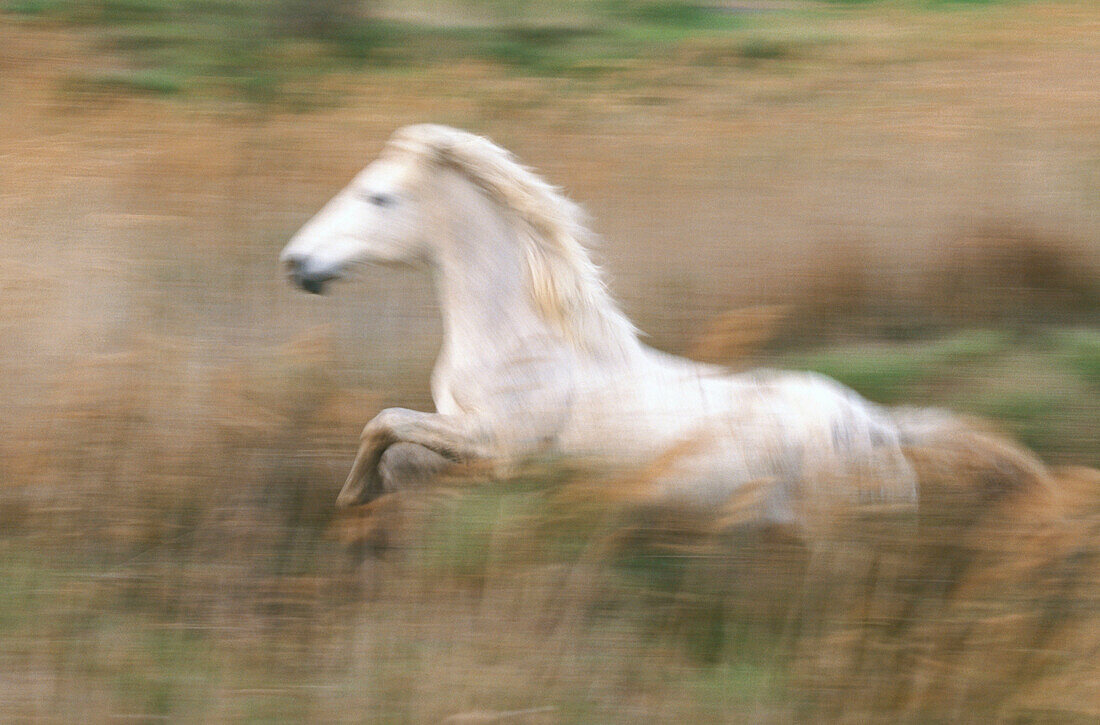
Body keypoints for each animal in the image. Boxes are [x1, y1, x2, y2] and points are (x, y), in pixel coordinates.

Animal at [281, 124, 937, 521]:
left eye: (378, 198)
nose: (296, 262)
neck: (519, 343)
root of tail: (879, 427)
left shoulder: (496, 444)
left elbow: (382, 422)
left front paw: (351, 498)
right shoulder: (459, 431)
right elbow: (398, 448)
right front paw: (368, 501)